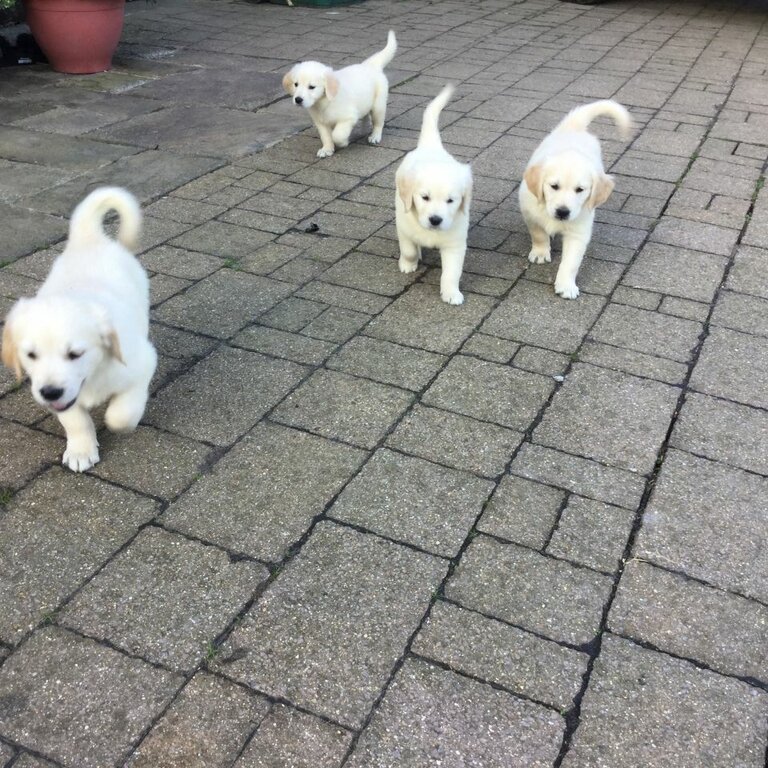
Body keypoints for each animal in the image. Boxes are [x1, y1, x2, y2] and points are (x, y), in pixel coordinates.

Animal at [1, 188, 158, 474]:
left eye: (75, 354)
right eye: (31, 355)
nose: (50, 392)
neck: (94, 374)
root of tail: (89, 238)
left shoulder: (143, 362)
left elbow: (122, 414)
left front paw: (119, 422)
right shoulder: (64, 397)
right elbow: (75, 419)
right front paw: (81, 450)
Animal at [284, 29, 400, 159]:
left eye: (311, 87)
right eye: (296, 84)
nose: (298, 99)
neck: (323, 102)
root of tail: (370, 65)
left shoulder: (348, 118)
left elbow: (337, 135)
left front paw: (343, 143)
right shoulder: (321, 122)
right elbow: (326, 136)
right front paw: (327, 149)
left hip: (378, 106)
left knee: (378, 122)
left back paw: (375, 136)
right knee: (366, 115)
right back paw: (365, 127)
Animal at [396, 86, 474, 306]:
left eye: (450, 201)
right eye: (425, 197)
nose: (435, 220)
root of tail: (431, 146)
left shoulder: (455, 243)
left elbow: (451, 273)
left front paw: (451, 293)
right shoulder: (403, 226)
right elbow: (409, 250)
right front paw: (408, 263)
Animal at [520, 103, 632, 302]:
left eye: (580, 190)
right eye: (554, 186)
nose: (562, 212)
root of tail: (575, 128)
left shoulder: (579, 231)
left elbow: (571, 262)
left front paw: (566, 285)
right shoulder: (530, 212)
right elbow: (538, 234)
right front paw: (540, 252)